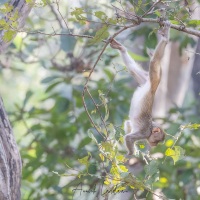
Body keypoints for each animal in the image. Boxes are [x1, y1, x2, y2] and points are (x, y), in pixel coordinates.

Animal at [109, 20, 170, 155]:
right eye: (158, 141)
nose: (154, 145)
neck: (151, 127)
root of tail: (152, 89)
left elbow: (128, 124)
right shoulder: (144, 133)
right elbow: (129, 137)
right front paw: (131, 154)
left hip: (144, 80)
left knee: (132, 69)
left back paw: (122, 49)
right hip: (153, 79)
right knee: (155, 62)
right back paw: (165, 38)